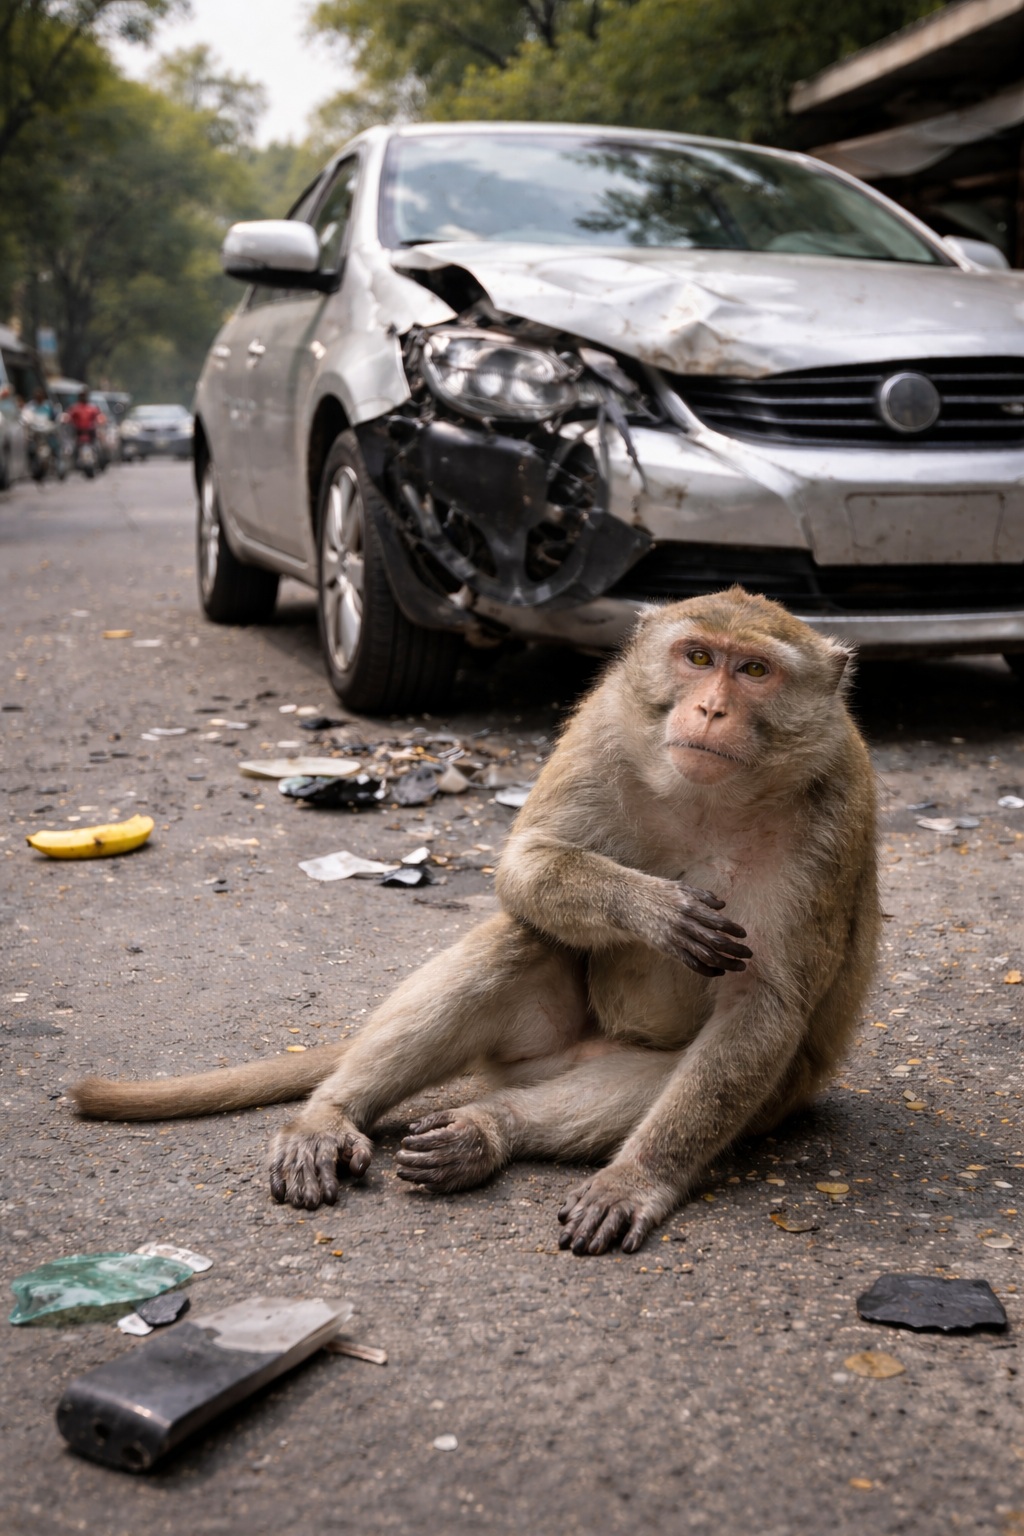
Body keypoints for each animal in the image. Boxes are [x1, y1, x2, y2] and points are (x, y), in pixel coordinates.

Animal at [73, 586, 880, 1254]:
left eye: (754, 672)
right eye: (699, 658)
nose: (710, 710)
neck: (715, 796)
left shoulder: (833, 807)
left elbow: (761, 1003)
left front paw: (637, 1180)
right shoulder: (605, 726)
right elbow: (523, 865)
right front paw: (650, 907)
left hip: (743, 1095)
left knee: (660, 1078)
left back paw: (489, 1132)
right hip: (531, 1042)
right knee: (517, 939)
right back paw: (329, 1114)